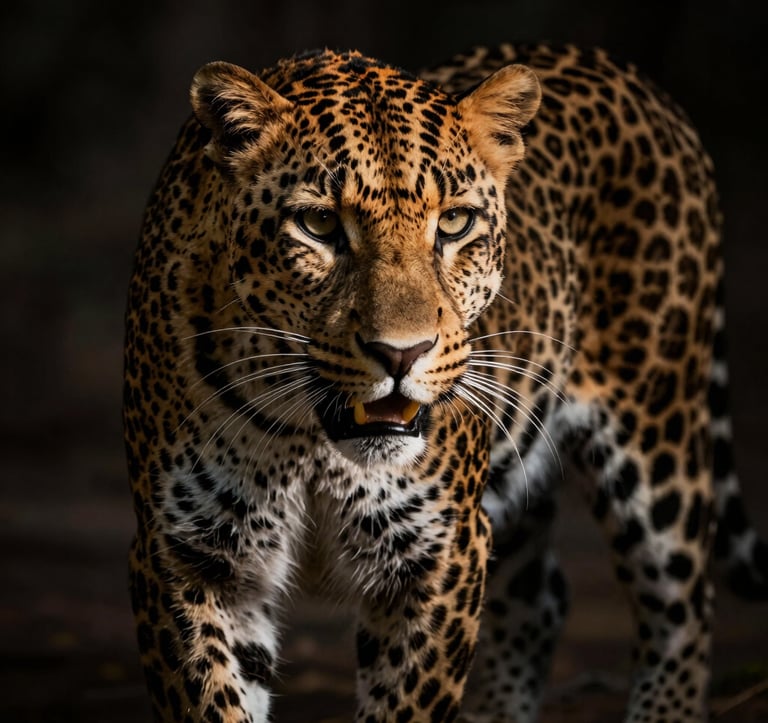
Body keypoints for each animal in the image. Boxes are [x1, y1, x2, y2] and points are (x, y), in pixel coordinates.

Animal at [123, 43, 767, 723]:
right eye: (319, 226)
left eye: (455, 223)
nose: (401, 354)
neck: (312, 443)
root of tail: (625, 72)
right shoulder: (188, 556)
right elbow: (213, 699)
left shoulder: (440, 550)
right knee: (541, 597)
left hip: (659, 432)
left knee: (682, 607)